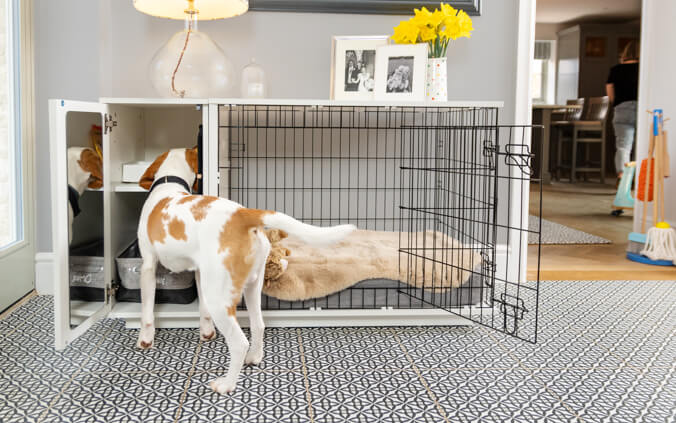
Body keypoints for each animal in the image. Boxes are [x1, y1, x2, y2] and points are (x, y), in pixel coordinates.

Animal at [138, 148, 360, 394]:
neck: (169, 182)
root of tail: (243, 214)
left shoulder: (148, 266)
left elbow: (147, 311)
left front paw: (145, 340)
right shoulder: (199, 271)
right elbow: (203, 310)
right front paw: (206, 332)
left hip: (220, 299)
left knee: (239, 342)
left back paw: (226, 384)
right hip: (250, 286)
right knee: (258, 325)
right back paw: (254, 357)